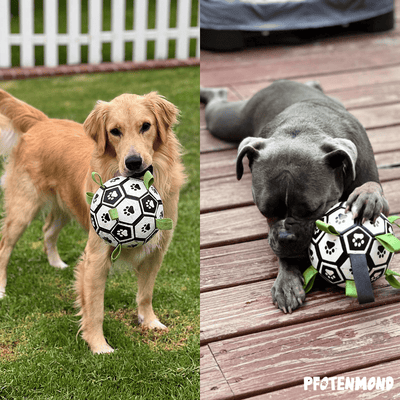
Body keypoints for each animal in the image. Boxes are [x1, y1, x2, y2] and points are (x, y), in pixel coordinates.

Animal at [0, 89, 185, 352]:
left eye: (146, 126)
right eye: (114, 131)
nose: (133, 162)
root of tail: (42, 122)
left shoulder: (156, 250)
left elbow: (146, 293)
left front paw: (149, 321)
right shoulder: (96, 257)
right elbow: (95, 308)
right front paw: (99, 347)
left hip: (65, 206)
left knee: (48, 230)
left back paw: (56, 263)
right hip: (23, 208)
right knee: (5, 247)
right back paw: (2, 288)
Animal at [202, 79, 390, 314]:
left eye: (314, 209)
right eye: (264, 211)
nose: (286, 237)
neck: (304, 127)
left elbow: (372, 186)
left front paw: (366, 197)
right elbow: (284, 256)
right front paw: (286, 282)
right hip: (228, 121)